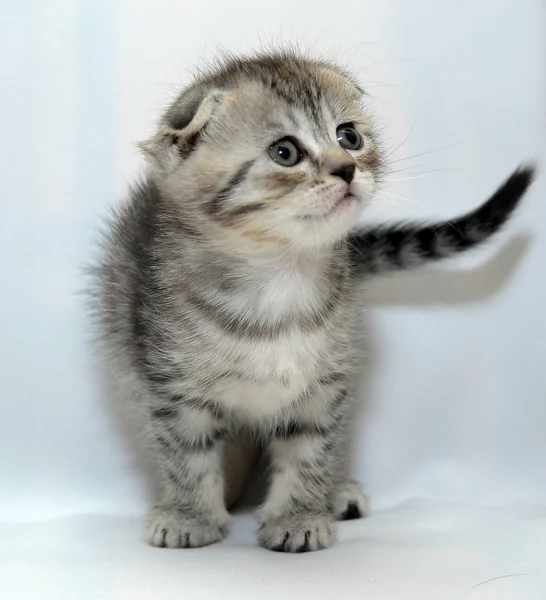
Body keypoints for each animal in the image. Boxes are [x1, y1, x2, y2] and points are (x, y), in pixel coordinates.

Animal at [91, 50, 532, 552]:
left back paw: (335, 493)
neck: (279, 281)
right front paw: (191, 515)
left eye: (349, 136)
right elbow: (187, 453)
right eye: (285, 152)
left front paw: (298, 516)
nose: (347, 168)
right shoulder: (172, 385)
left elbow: (310, 450)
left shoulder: (325, 385)